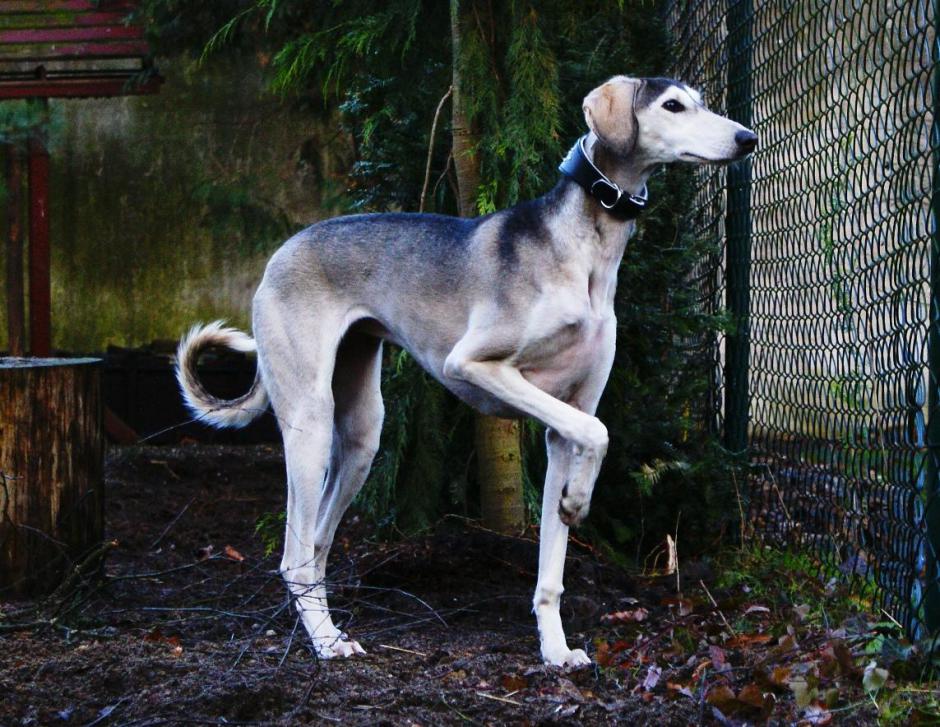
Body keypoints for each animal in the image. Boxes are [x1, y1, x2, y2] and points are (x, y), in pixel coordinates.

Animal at [176, 77, 756, 668]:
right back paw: (325, 642)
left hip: (362, 434)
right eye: (672, 106)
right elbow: (598, 433)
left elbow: (553, 559)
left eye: (701, 100)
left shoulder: (563, 425)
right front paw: (578, 501)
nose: (747, 138)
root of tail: (282, 251)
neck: (585, 247)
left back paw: (328, 629)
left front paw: (556, 647)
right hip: (310, 425)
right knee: (294, 555)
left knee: (316, 543)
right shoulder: (474, 366)